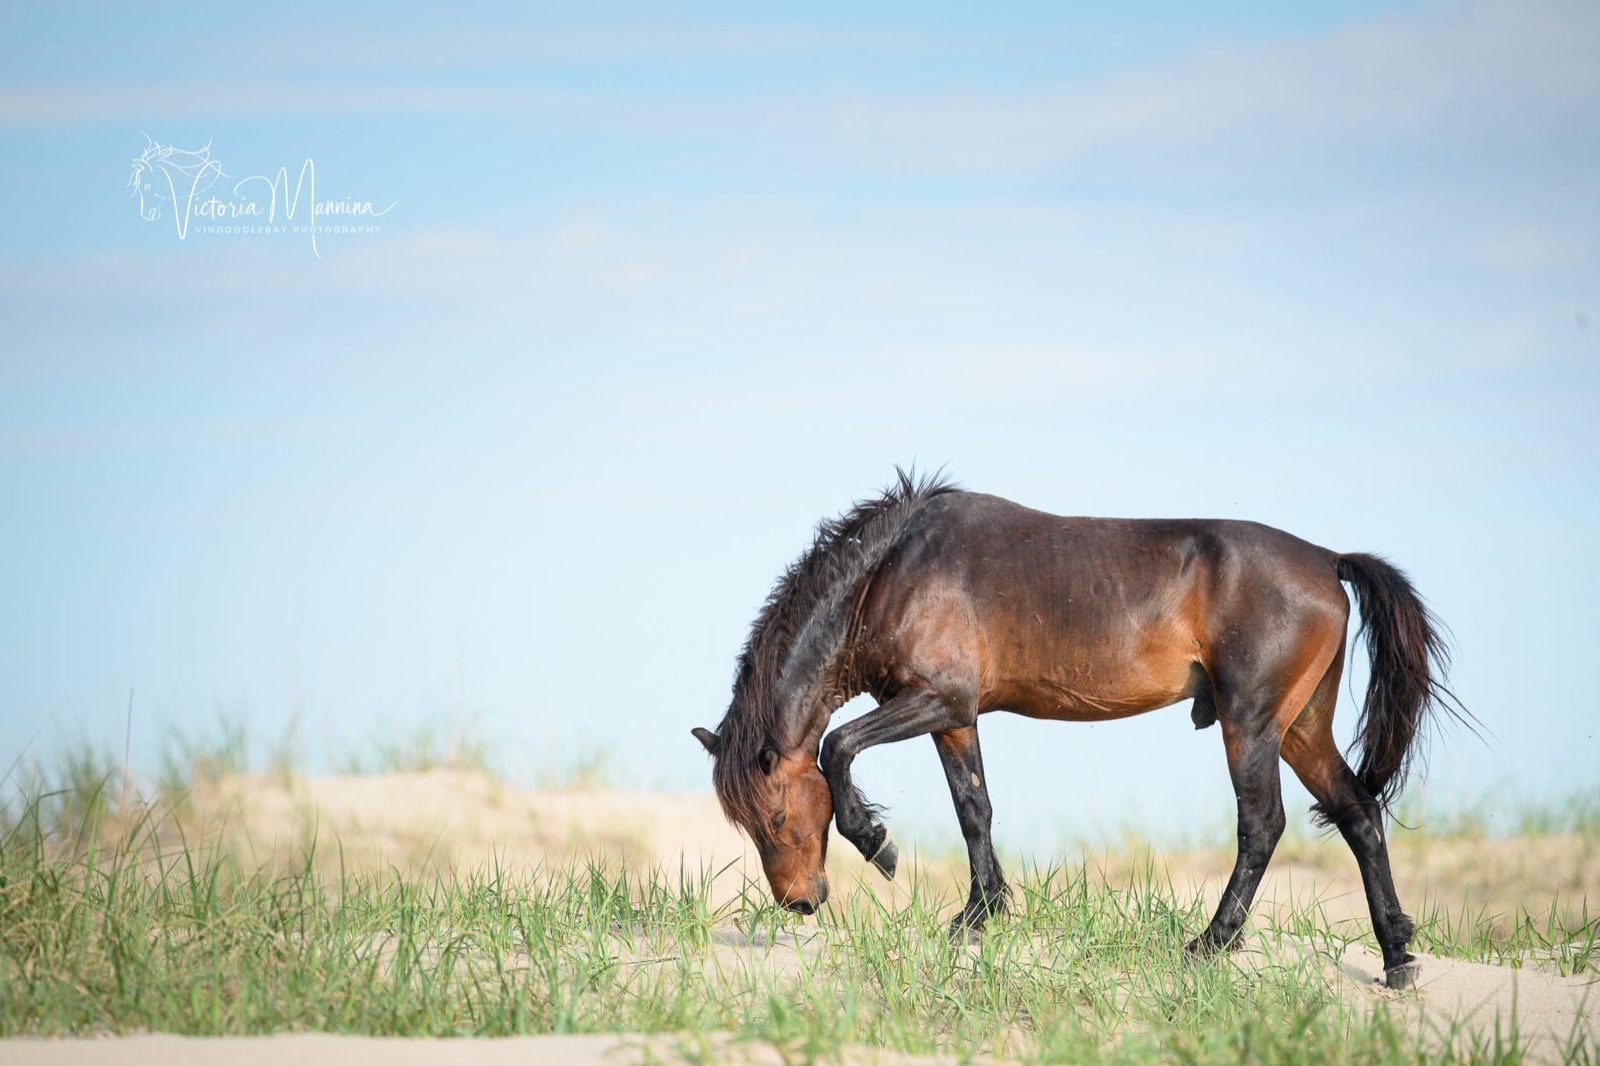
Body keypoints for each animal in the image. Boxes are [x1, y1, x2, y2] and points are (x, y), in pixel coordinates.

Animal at [692, 471, 1466, 990]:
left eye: (776, 818)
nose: (799, 902)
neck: (891, 572)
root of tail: (1328, 560)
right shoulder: (955, 717)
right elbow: (974, 809)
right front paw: (979, 916)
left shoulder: (934, 700)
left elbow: (838, 747)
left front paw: (879, 845)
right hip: (1301, 728)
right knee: (1358, 813)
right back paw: (1397, 957)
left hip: (1251, 725)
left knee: (1263, 825)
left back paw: (1211, 943)